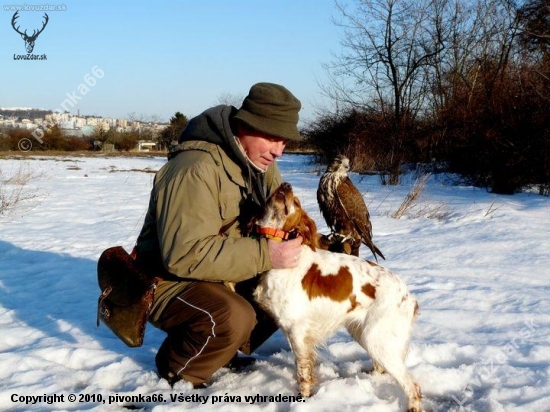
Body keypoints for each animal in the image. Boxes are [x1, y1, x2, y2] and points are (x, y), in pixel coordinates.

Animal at [254, 183, 422, 412]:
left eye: (295, 201)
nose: (285, 185)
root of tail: (409, 297)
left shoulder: (297, 331)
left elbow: (303, 373)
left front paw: (303, 398)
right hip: (363, 333)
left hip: (377, 338)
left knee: (412, 385)